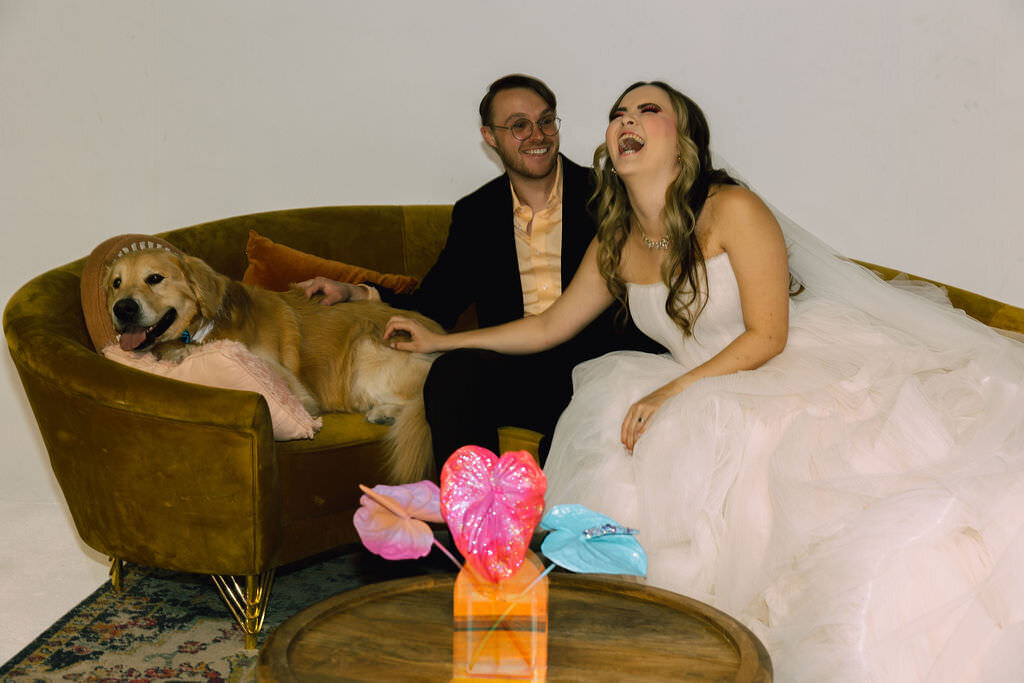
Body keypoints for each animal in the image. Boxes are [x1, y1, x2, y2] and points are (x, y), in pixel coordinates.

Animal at [102, 245, 440, 481]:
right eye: (117, 283)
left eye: (154, 279)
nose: (123, 308)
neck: (205, 326)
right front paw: (173, 352)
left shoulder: (296, 391)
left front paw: (179, 353)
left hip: (365, 351)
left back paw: (385, 413)